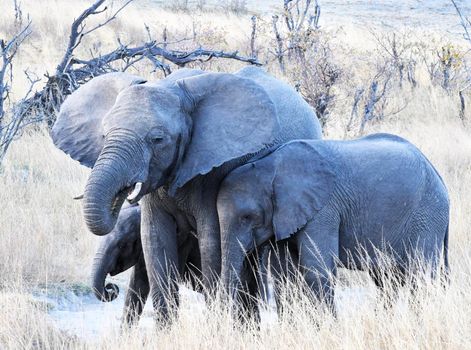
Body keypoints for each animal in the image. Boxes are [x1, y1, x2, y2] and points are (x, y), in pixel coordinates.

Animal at [52, 65, 324, 320]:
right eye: (104, 134)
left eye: (158, 139)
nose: (110, 289)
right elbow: (155, 241)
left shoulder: (216, 169)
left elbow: (212, 241)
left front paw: (216, 325)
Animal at [219, 133, 452, 308]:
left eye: (248, 217)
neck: (269, 163)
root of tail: (439, 177)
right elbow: (284, 273)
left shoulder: (323, 209)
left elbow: (318, 271)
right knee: (386, 279)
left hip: (428, 215)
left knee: (419, 276)